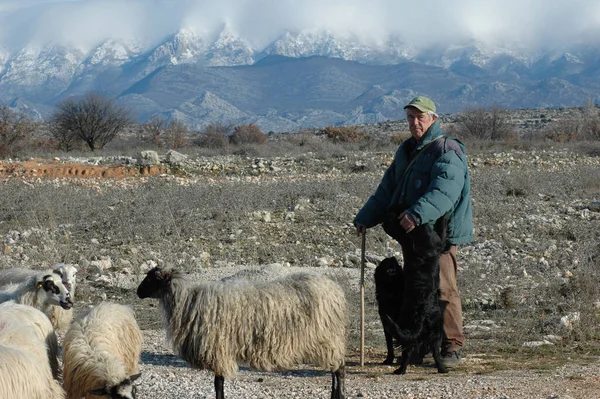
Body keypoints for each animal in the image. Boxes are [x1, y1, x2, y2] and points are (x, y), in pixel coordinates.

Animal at [136, 266, 346, 399]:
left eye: (153, 278)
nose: (138, 292)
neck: (187, 301)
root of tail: (333, 288)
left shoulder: (218, 349)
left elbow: (218, 384)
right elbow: (218, 383)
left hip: (329, 338)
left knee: (339, 370)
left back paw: (339, 395)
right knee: (335, 370)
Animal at [382, 208, 448, 376]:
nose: (387, 214)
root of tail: (421, 312)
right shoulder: (439, 242)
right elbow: (443, 228)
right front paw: (446, 216)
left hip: (423, 331)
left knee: (413, 351)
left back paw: (402, 370)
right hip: (436, 330)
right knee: (431, 352)